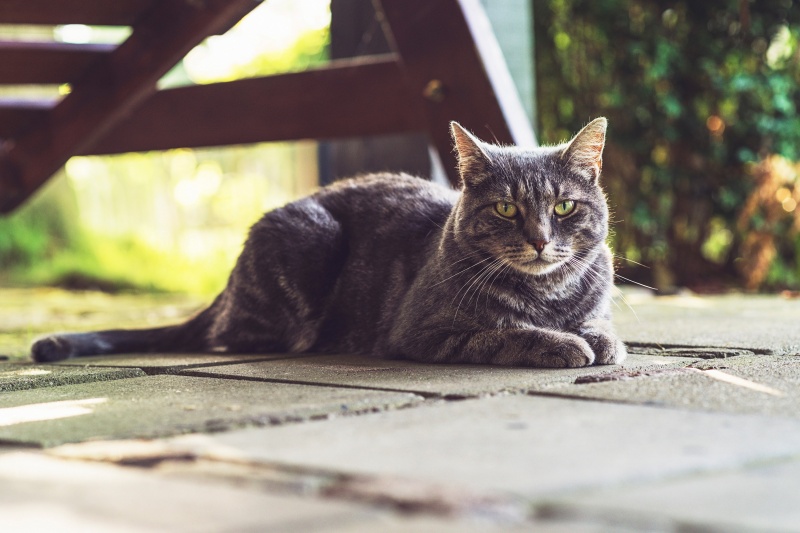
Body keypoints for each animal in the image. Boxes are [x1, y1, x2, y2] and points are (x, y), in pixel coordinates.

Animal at [32, 117, 624, 368]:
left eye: (563, 207)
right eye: (505, 209)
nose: (541, 240)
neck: (547, 295)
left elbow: (604, 329)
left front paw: (598, 339)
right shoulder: (423, 332)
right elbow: (503, 334)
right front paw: (562, 344)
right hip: (309, 241)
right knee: (229, 338)